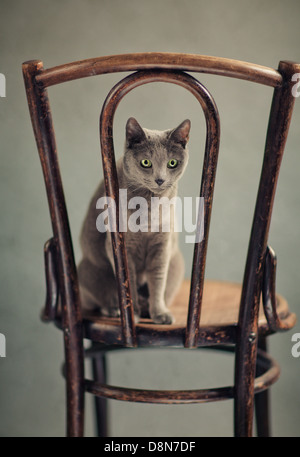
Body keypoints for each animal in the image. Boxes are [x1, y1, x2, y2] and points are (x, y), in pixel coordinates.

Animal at [77, 117, 190, 324]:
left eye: (172, 163)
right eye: (146, 162)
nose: (160, 179)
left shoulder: (162, 246)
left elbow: (158, 283)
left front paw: (159, 313)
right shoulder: (121, 247)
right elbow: (129, 283)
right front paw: (133, 314)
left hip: (177, 265)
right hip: (89, 272)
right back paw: (114, 309)